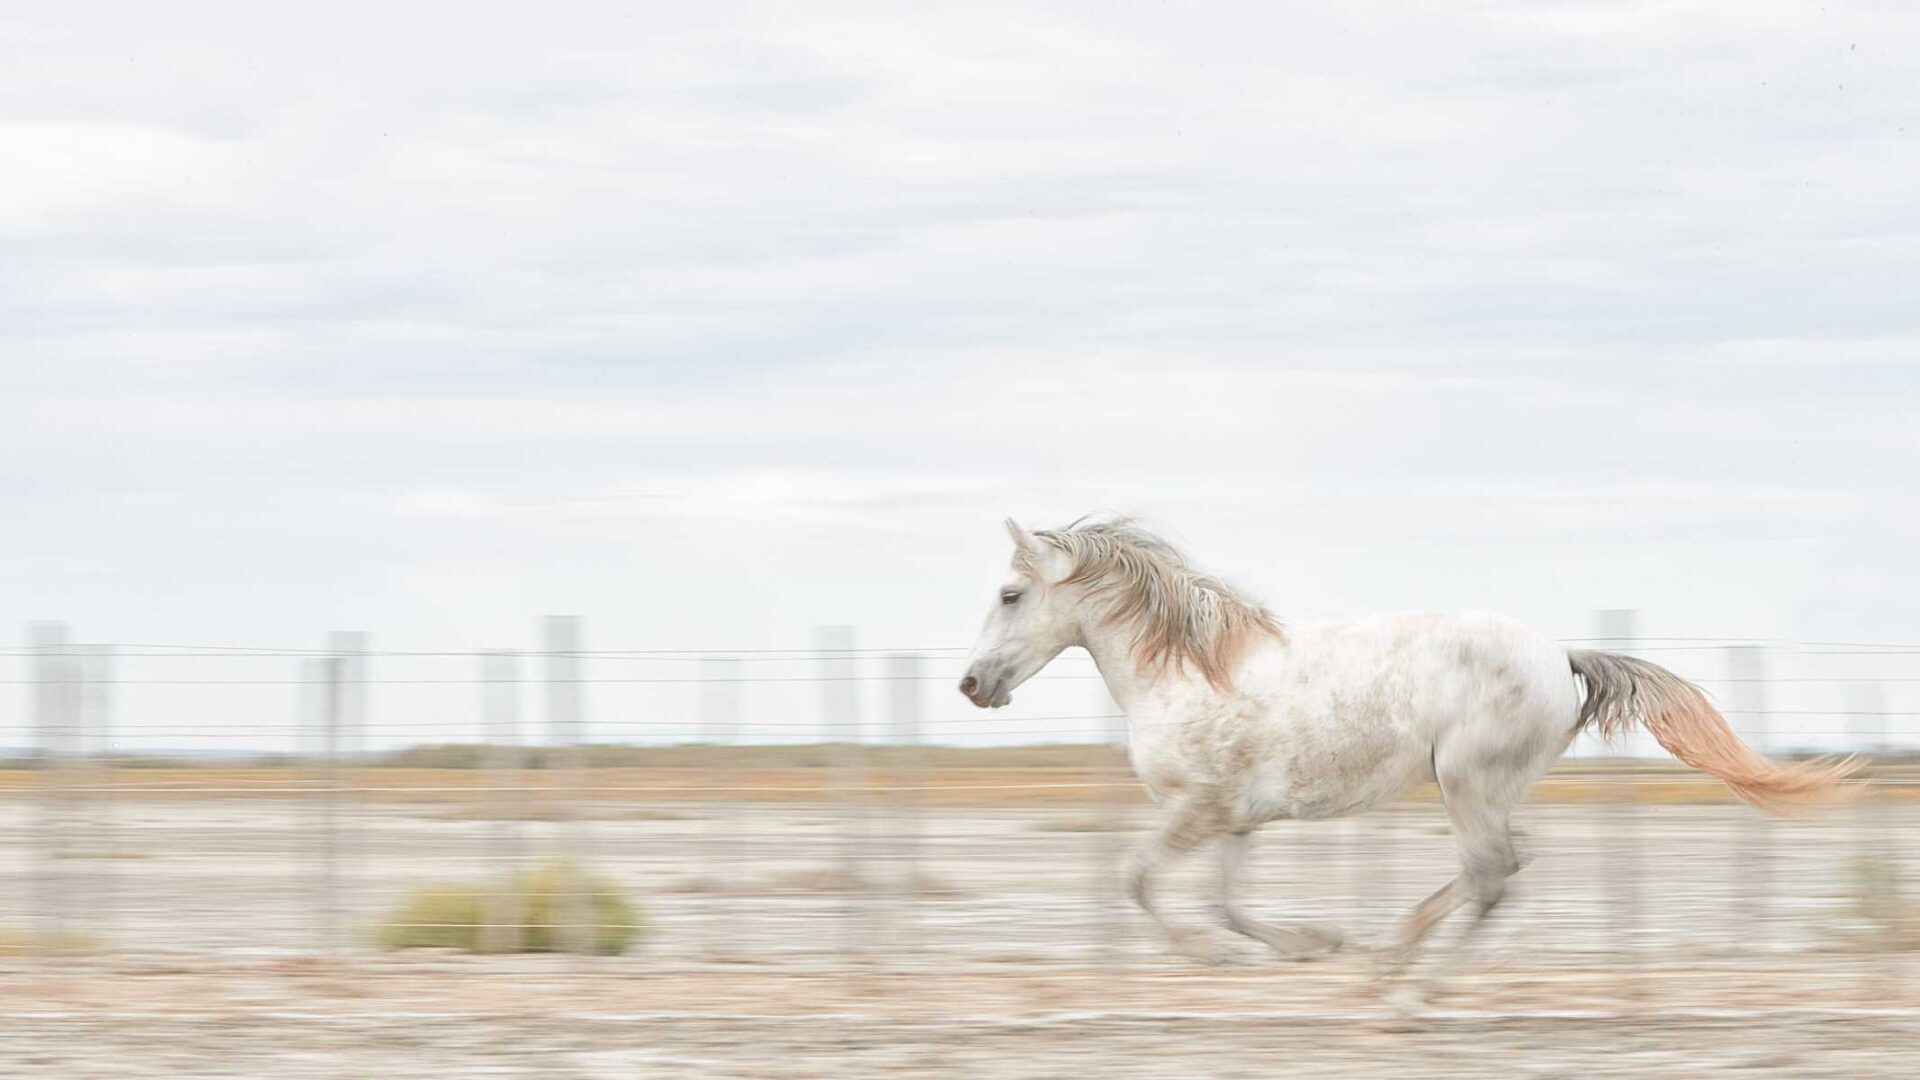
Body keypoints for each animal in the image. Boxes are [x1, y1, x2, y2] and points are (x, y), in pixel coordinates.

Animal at [967, 518, 1850, 999]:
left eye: (1010, 595)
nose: (971, 684)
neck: (1188, 670)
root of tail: (1559, 655)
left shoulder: (1198, 812)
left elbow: (1137, 879)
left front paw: (1218, 957)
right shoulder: (1235, 820)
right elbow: (1226, 902)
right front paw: (1309, 945)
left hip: (1466, 782)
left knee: (1494, 874)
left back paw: (1414, 992)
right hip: (1483, 789)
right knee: (1504, 863)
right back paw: (1388, 958)